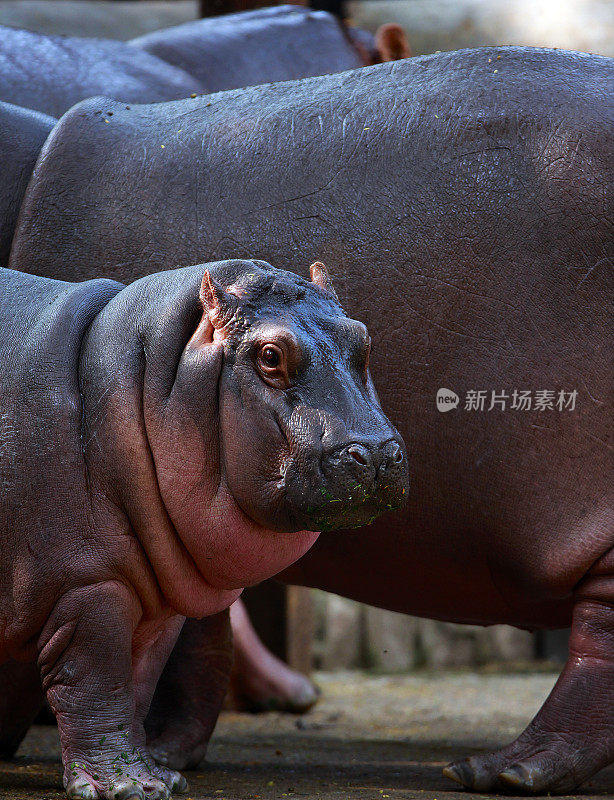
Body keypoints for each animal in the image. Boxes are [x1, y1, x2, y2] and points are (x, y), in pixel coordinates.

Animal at [0, 258, 410, 800]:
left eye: (364, 340)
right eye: (270, 355)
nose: (379, 454)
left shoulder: (155, 604)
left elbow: (136, 682)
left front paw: (160, 778)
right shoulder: (87, 583)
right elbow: (96, 680)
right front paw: (127, 787)